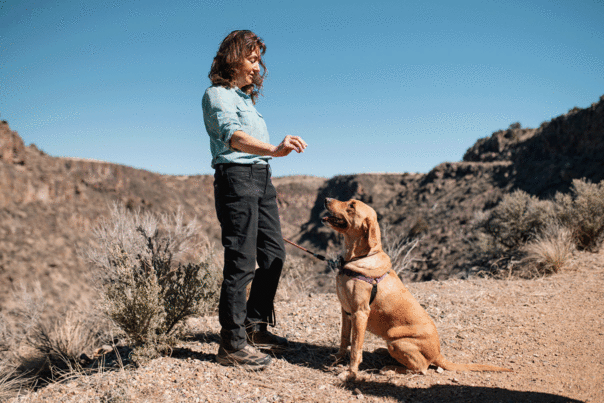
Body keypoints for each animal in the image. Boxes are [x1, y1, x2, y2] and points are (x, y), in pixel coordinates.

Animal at [320, 199, 510, 382]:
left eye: (351, 206)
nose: (326, 199)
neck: (357, 258)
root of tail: (437, 353)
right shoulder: (346, 311)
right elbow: (344, 339)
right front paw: (337, 359)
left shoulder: (360, 313)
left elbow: (355, 348)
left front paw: (350, 374)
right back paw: (382, 352)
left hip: (398, 342)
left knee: (421, 368)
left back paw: (390, 368)